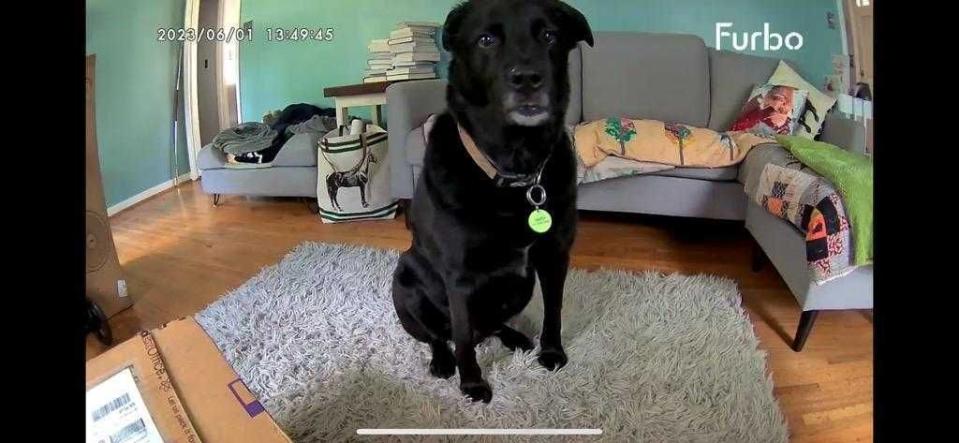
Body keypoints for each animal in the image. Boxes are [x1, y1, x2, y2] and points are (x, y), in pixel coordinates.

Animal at [390, 0, 592, 404]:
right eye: (486, 40)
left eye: (549, 36)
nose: (527, 79)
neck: (516, 169)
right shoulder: (460, 277)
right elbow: (464, 338)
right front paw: (472, 385)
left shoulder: (554, 256)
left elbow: (554, 310)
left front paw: (551, 352)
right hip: (403, 283)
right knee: (440, 336)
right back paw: (442, 361)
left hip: (519, 286)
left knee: (492, 325)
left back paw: (515, 337)